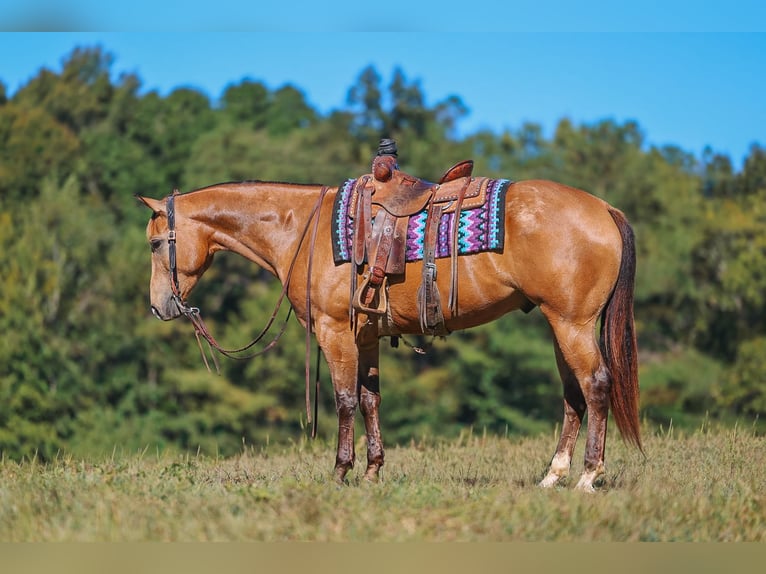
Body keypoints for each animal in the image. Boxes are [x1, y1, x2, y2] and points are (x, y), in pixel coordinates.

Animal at [137, 173, 641, 492]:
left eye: (155, 243)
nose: (159, 306)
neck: (301, 229)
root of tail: (604, 208)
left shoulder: (336, 332)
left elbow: (343, 401)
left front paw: (340, 473)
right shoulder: (366, 338)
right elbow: (369, 400)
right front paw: (372, 472)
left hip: (572, 324)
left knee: (596, 386)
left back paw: (588, 476)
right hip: (560, 326)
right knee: (574, 396)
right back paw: (553, 475)